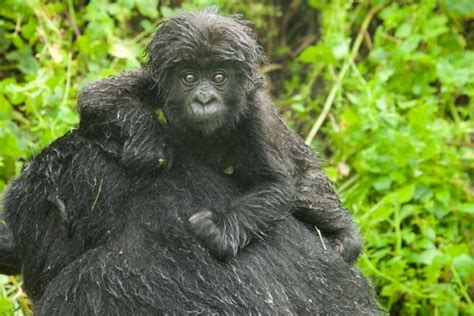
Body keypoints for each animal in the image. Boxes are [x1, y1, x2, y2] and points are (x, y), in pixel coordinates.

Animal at [78, 9, 362, 262]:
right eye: (189, 77)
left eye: (218, 77)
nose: (205, 99)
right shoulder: (153, 81)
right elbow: (96, 97)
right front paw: (148, 142)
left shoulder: (259, 115)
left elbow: (277, 186)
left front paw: (220, 231)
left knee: (309, 194)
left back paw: (346, 235)